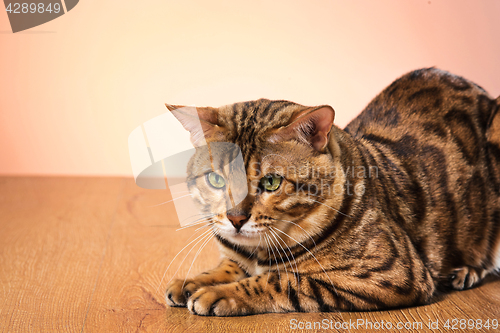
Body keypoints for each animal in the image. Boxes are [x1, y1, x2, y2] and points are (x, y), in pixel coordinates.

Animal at [165, 67, 500, 314]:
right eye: (216, 180)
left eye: (271, 182)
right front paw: (192, 282)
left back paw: (467, 270)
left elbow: (280, 280)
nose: (235, 218)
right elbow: (228, 265)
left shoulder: (391, 273)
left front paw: (218, 293)